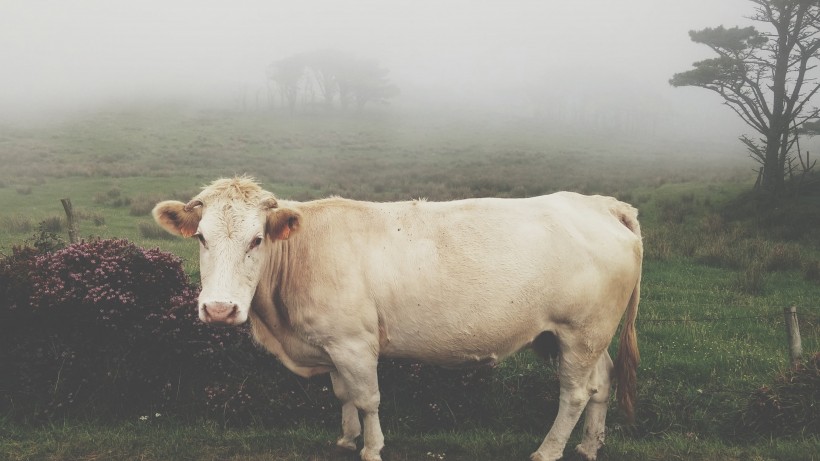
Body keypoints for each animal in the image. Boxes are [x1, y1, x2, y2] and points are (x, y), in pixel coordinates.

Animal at [152, 176, 640, 460]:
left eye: (256, 240)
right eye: (201, 237)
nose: (219, 309)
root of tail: (601, 204)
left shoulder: (354, 343)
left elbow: (368, 398)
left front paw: (371, 448)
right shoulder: (333, 344)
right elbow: (343, 394)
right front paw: (346, 439)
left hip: (580, 332)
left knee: (574, 393)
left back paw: (549, 450)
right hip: (580, 337)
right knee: (601, 382)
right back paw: (588, 446)